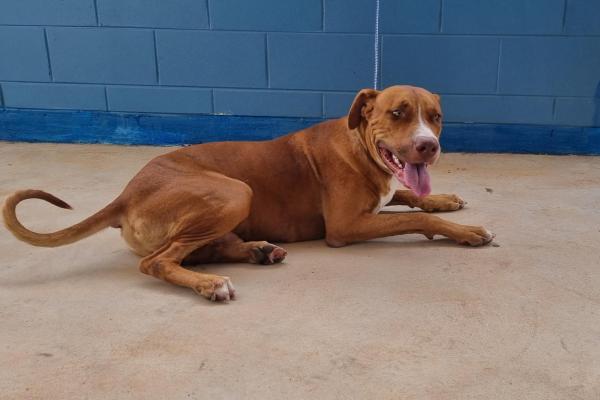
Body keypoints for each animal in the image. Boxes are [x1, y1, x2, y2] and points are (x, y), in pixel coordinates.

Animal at [3, 86, 492, 302]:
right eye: (397, 113)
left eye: (436, 116)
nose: (429, 146)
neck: (360, 145)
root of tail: (124, 194)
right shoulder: (345, 226)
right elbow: (414, 216)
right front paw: (466, 230)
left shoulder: (382, 196)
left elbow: (410, 198)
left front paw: (447, 199)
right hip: (235, 190)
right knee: (157, 261)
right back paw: (209, 283)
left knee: (198, 249)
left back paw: (258, 251)